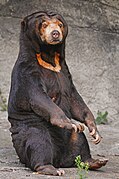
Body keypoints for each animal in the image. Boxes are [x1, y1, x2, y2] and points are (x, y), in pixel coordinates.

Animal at [7, 11, 108, 176]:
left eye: (60, 24)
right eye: (44, 24)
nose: (55, 33)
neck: (49, 57)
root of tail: (59, 159)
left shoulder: (64, 71)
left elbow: (75, 99)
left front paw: (94, 131)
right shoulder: (27, 71)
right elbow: (39, 97)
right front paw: (70, 122)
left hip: (71, 139)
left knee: (80, 140)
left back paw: (94, 161)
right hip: (30, 129)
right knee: (39, 142)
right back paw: (50, 168)